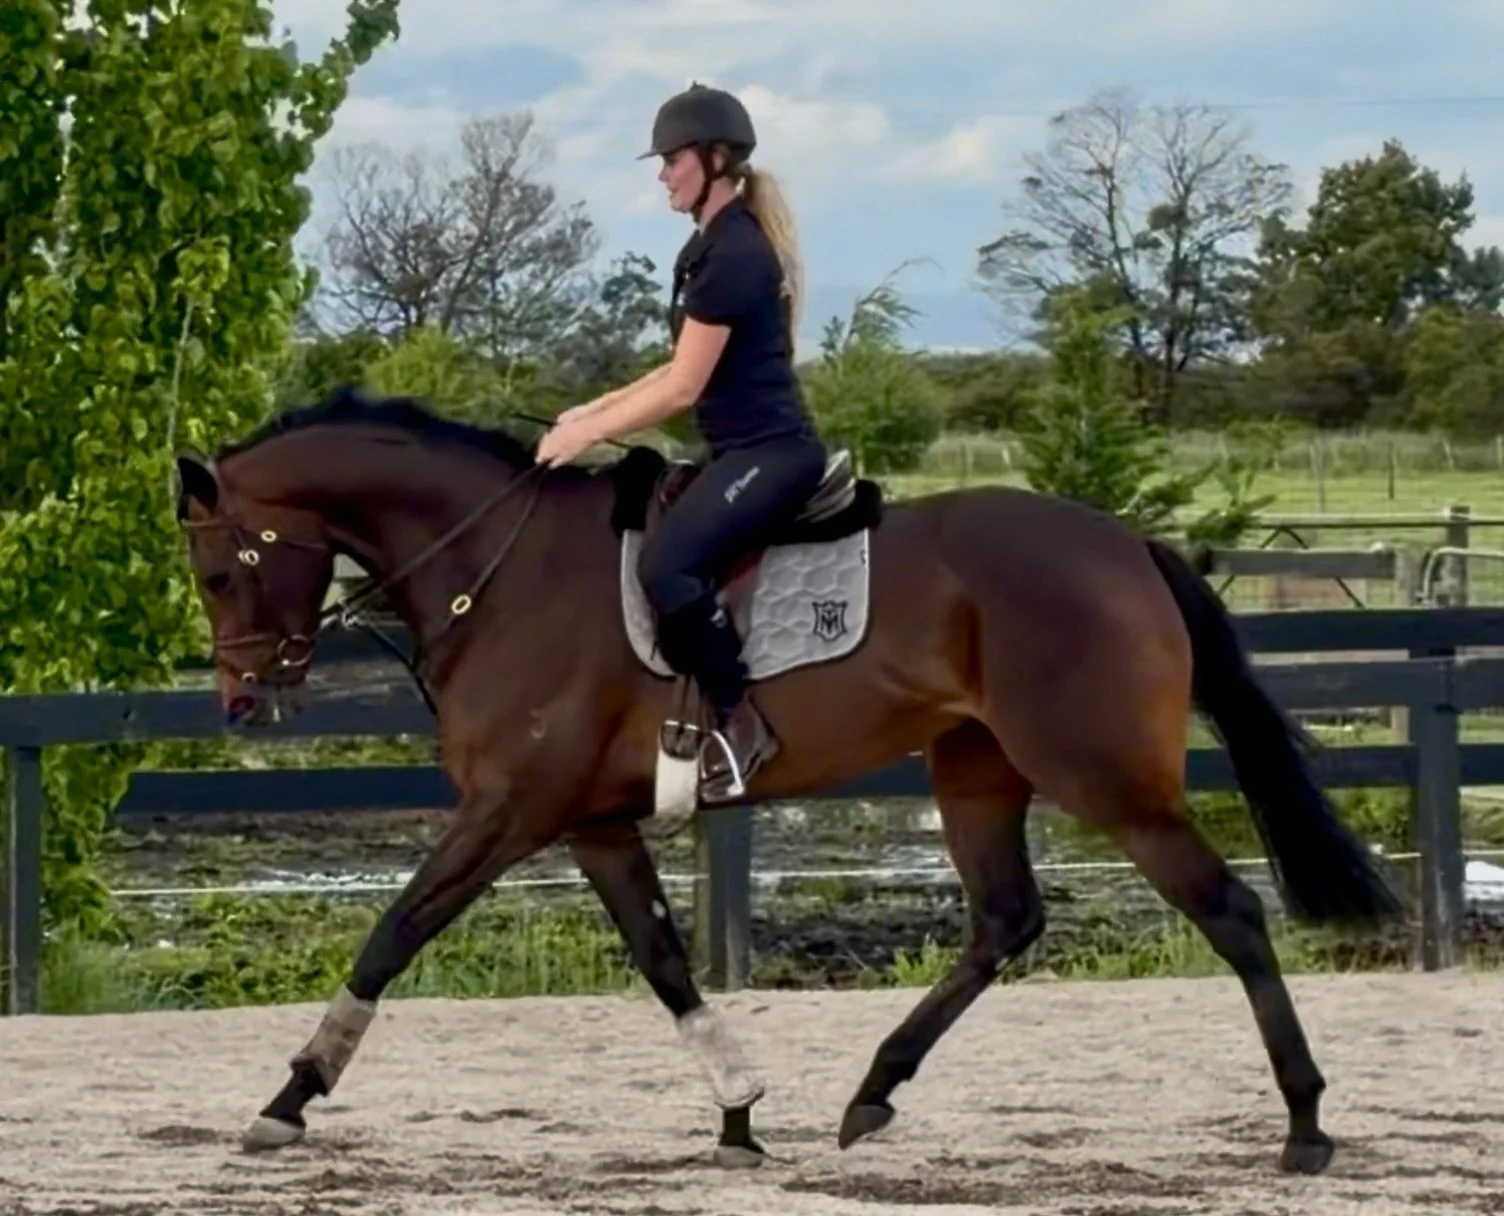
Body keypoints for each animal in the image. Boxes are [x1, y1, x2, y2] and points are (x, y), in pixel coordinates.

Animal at [172, 385, 1404, 1175]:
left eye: (219, 571)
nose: (242, 700)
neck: (499, 572)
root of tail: (1127, 545)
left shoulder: (511, 809)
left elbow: (393, 933)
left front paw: (289, 1098)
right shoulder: (592, 823)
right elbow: (664, 960)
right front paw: (736, 1114)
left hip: (1104, 777)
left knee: (1228, 910)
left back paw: (1304, 1123)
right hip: (976, 770)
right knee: (1003, 920)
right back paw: (872, 1092)